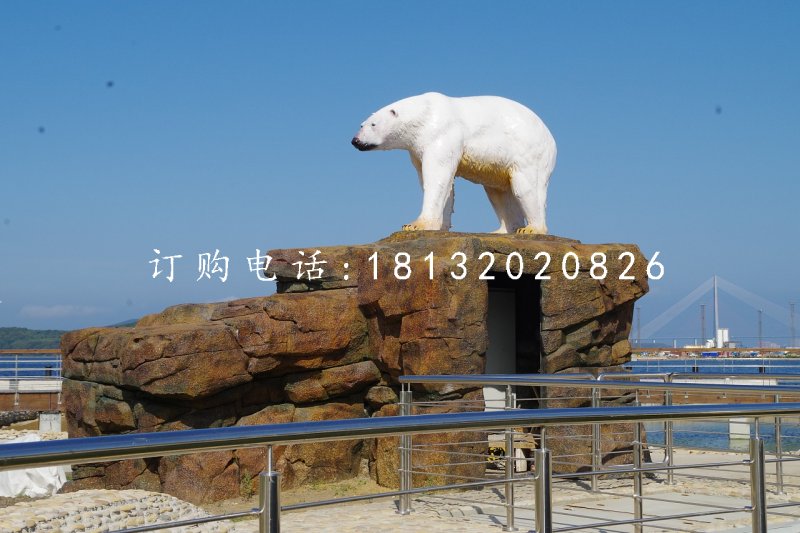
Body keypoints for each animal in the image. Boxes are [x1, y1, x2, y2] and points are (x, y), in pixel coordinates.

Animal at [351, 92, 557, 234]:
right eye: (362, 124)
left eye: (373, 124)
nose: (355, 141)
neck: (425, 114)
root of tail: (551, 140)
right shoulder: (416, 150)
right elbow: (444, 184)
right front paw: (440, 226)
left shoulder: (441, 133)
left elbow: (437, 176)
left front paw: (416, 225)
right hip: (498, 165)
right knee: (497, 192)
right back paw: (502, 231)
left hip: (528, 152)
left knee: (525, 188)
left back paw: (532, 229)